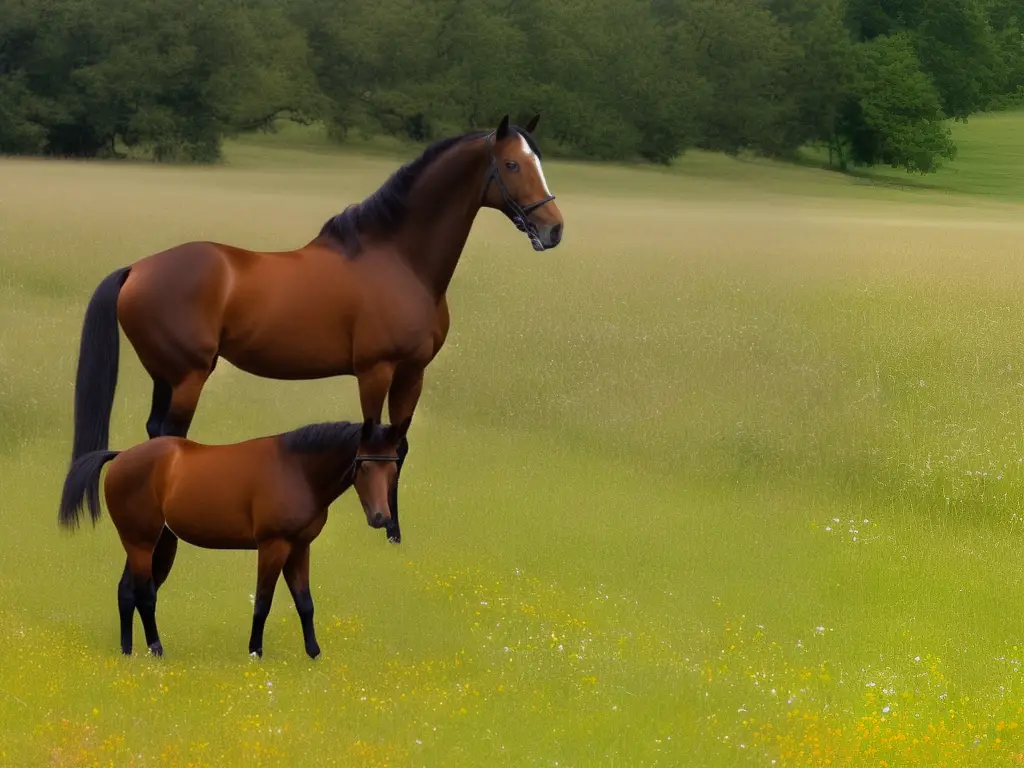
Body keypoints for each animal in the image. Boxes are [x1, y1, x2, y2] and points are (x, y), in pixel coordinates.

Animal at [58, 417, 409, 659]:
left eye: (392, 468)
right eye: (364, 465)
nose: (381, 518)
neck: (297, 469)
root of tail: (120, 457)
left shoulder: (299, 548)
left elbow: (305, 602)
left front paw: (314, 653)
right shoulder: (273, 546)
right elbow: (263, 601)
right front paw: (255, 651)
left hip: (156, 544)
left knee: (126, 590)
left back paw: (127, 650)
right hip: (141, 542)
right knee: (144, 593)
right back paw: (156, 649)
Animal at [68, 114, 565, 548]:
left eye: (537, 160)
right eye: (512, 164)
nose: (554, 229)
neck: (398, 260)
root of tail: (136, 269)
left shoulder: (413, 372)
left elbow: (399, 444)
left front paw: (395, 531)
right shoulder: (375, 370)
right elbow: (371, 437)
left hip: (165, 376)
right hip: (188, 376)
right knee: (171, 434)